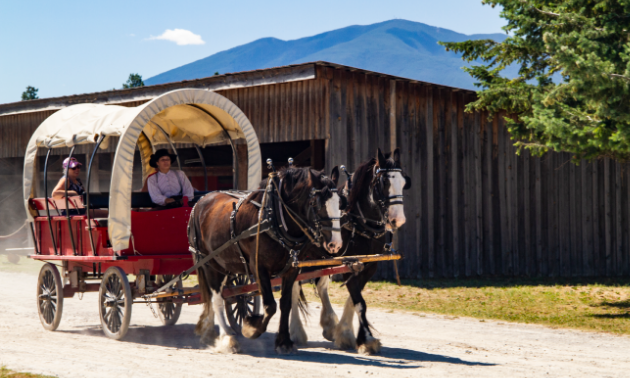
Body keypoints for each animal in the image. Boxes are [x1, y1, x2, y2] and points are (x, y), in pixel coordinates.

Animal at [290, 148, 412, 354]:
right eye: (384, 182)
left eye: (403, 182)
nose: (398, 220)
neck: (358, 223)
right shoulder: (348, 263)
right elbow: (359, 301)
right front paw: (367, 338)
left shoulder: (366, 266)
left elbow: (353, 299)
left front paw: (346, 333)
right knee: (293, 288)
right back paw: (296, 331)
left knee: (321, 285)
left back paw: (329, 324)